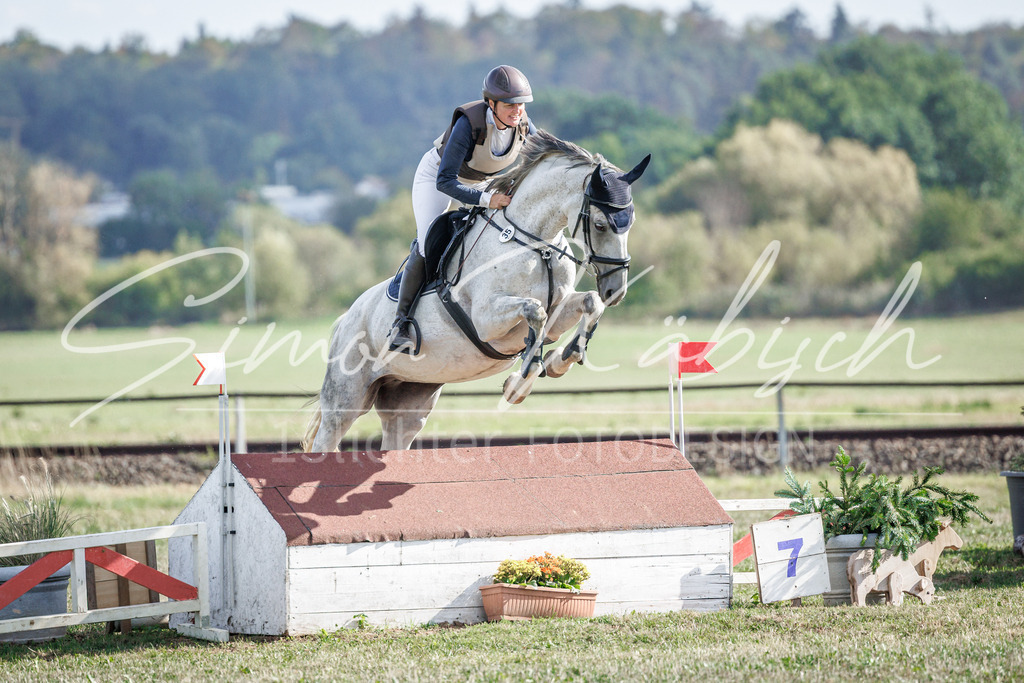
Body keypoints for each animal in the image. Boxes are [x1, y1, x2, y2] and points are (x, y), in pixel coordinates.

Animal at [303, 130, 651, 452]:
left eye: (631, 222)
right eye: (601, 225)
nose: (615, 290)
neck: (536, 246)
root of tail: (345, 319)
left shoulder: (560, 309)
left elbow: (588, 305)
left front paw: (560, 361)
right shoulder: (487, 321)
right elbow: (534, 312)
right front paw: (519, 383)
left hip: (409, 399)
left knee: (397, 433)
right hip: (346, 397)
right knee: (328, 437)